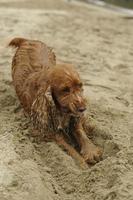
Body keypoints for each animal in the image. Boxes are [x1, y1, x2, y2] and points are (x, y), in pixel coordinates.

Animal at [9, 37, 102, 166]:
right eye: (65, 90)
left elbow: (80, 132)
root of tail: (28, 40)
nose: (83, 109)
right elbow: (70, 149)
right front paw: (82, 165)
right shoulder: (52, 131)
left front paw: (91, 151)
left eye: (80, 86)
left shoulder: (74, 119)